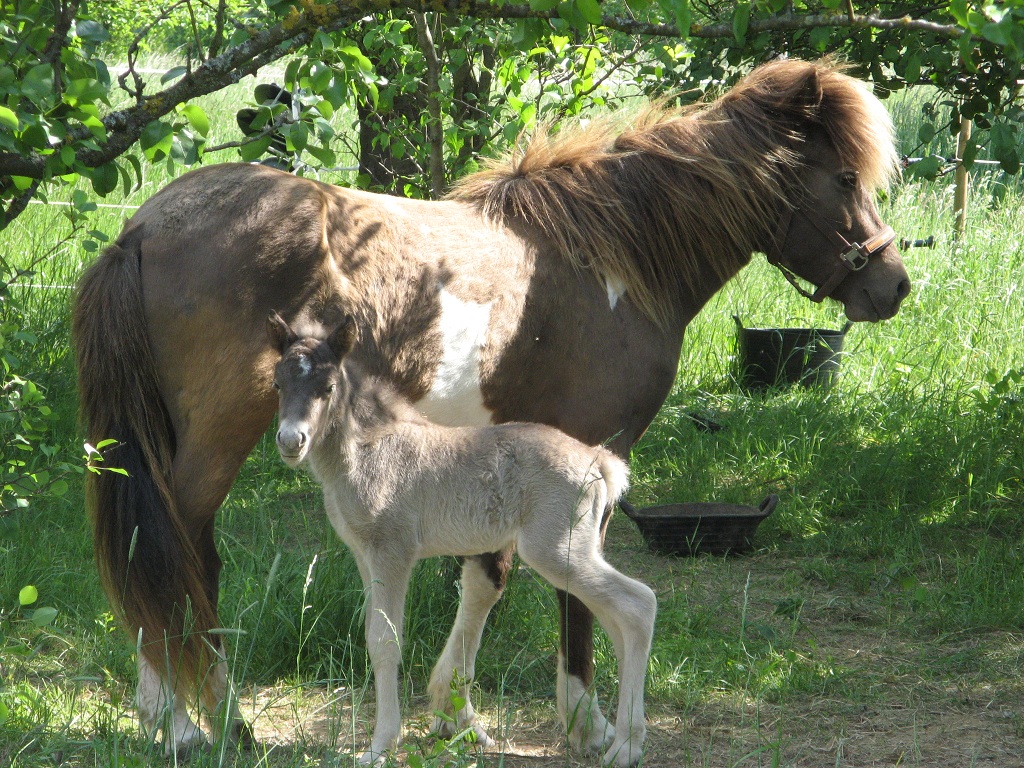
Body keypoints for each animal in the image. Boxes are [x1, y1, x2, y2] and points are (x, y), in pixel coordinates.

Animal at [270, 313, 655, 768]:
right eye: (277, 384)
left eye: (327, 387)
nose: (291, 441)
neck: (367, 448)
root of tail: (600, 462)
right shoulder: (363, 554)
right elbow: (370, 632)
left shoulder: (392, 551)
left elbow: (385, 641)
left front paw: (381, 743)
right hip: (576, 550)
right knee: (618, 617)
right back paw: (621, 736)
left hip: (555, 550)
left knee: (639, 603)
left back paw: (627, 746)